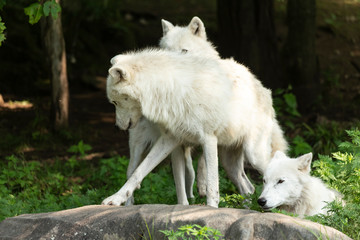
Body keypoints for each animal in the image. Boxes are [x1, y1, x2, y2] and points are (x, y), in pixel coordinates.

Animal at [159, 16, 288, 197]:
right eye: (165, 51)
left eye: (184, 51)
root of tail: (264, 89)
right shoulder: (177, 145)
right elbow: (182, 184)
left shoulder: (209, 137)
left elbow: (203, 164)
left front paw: (203, 186)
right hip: (231, 163)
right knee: (248, 188)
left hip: (254, 155)